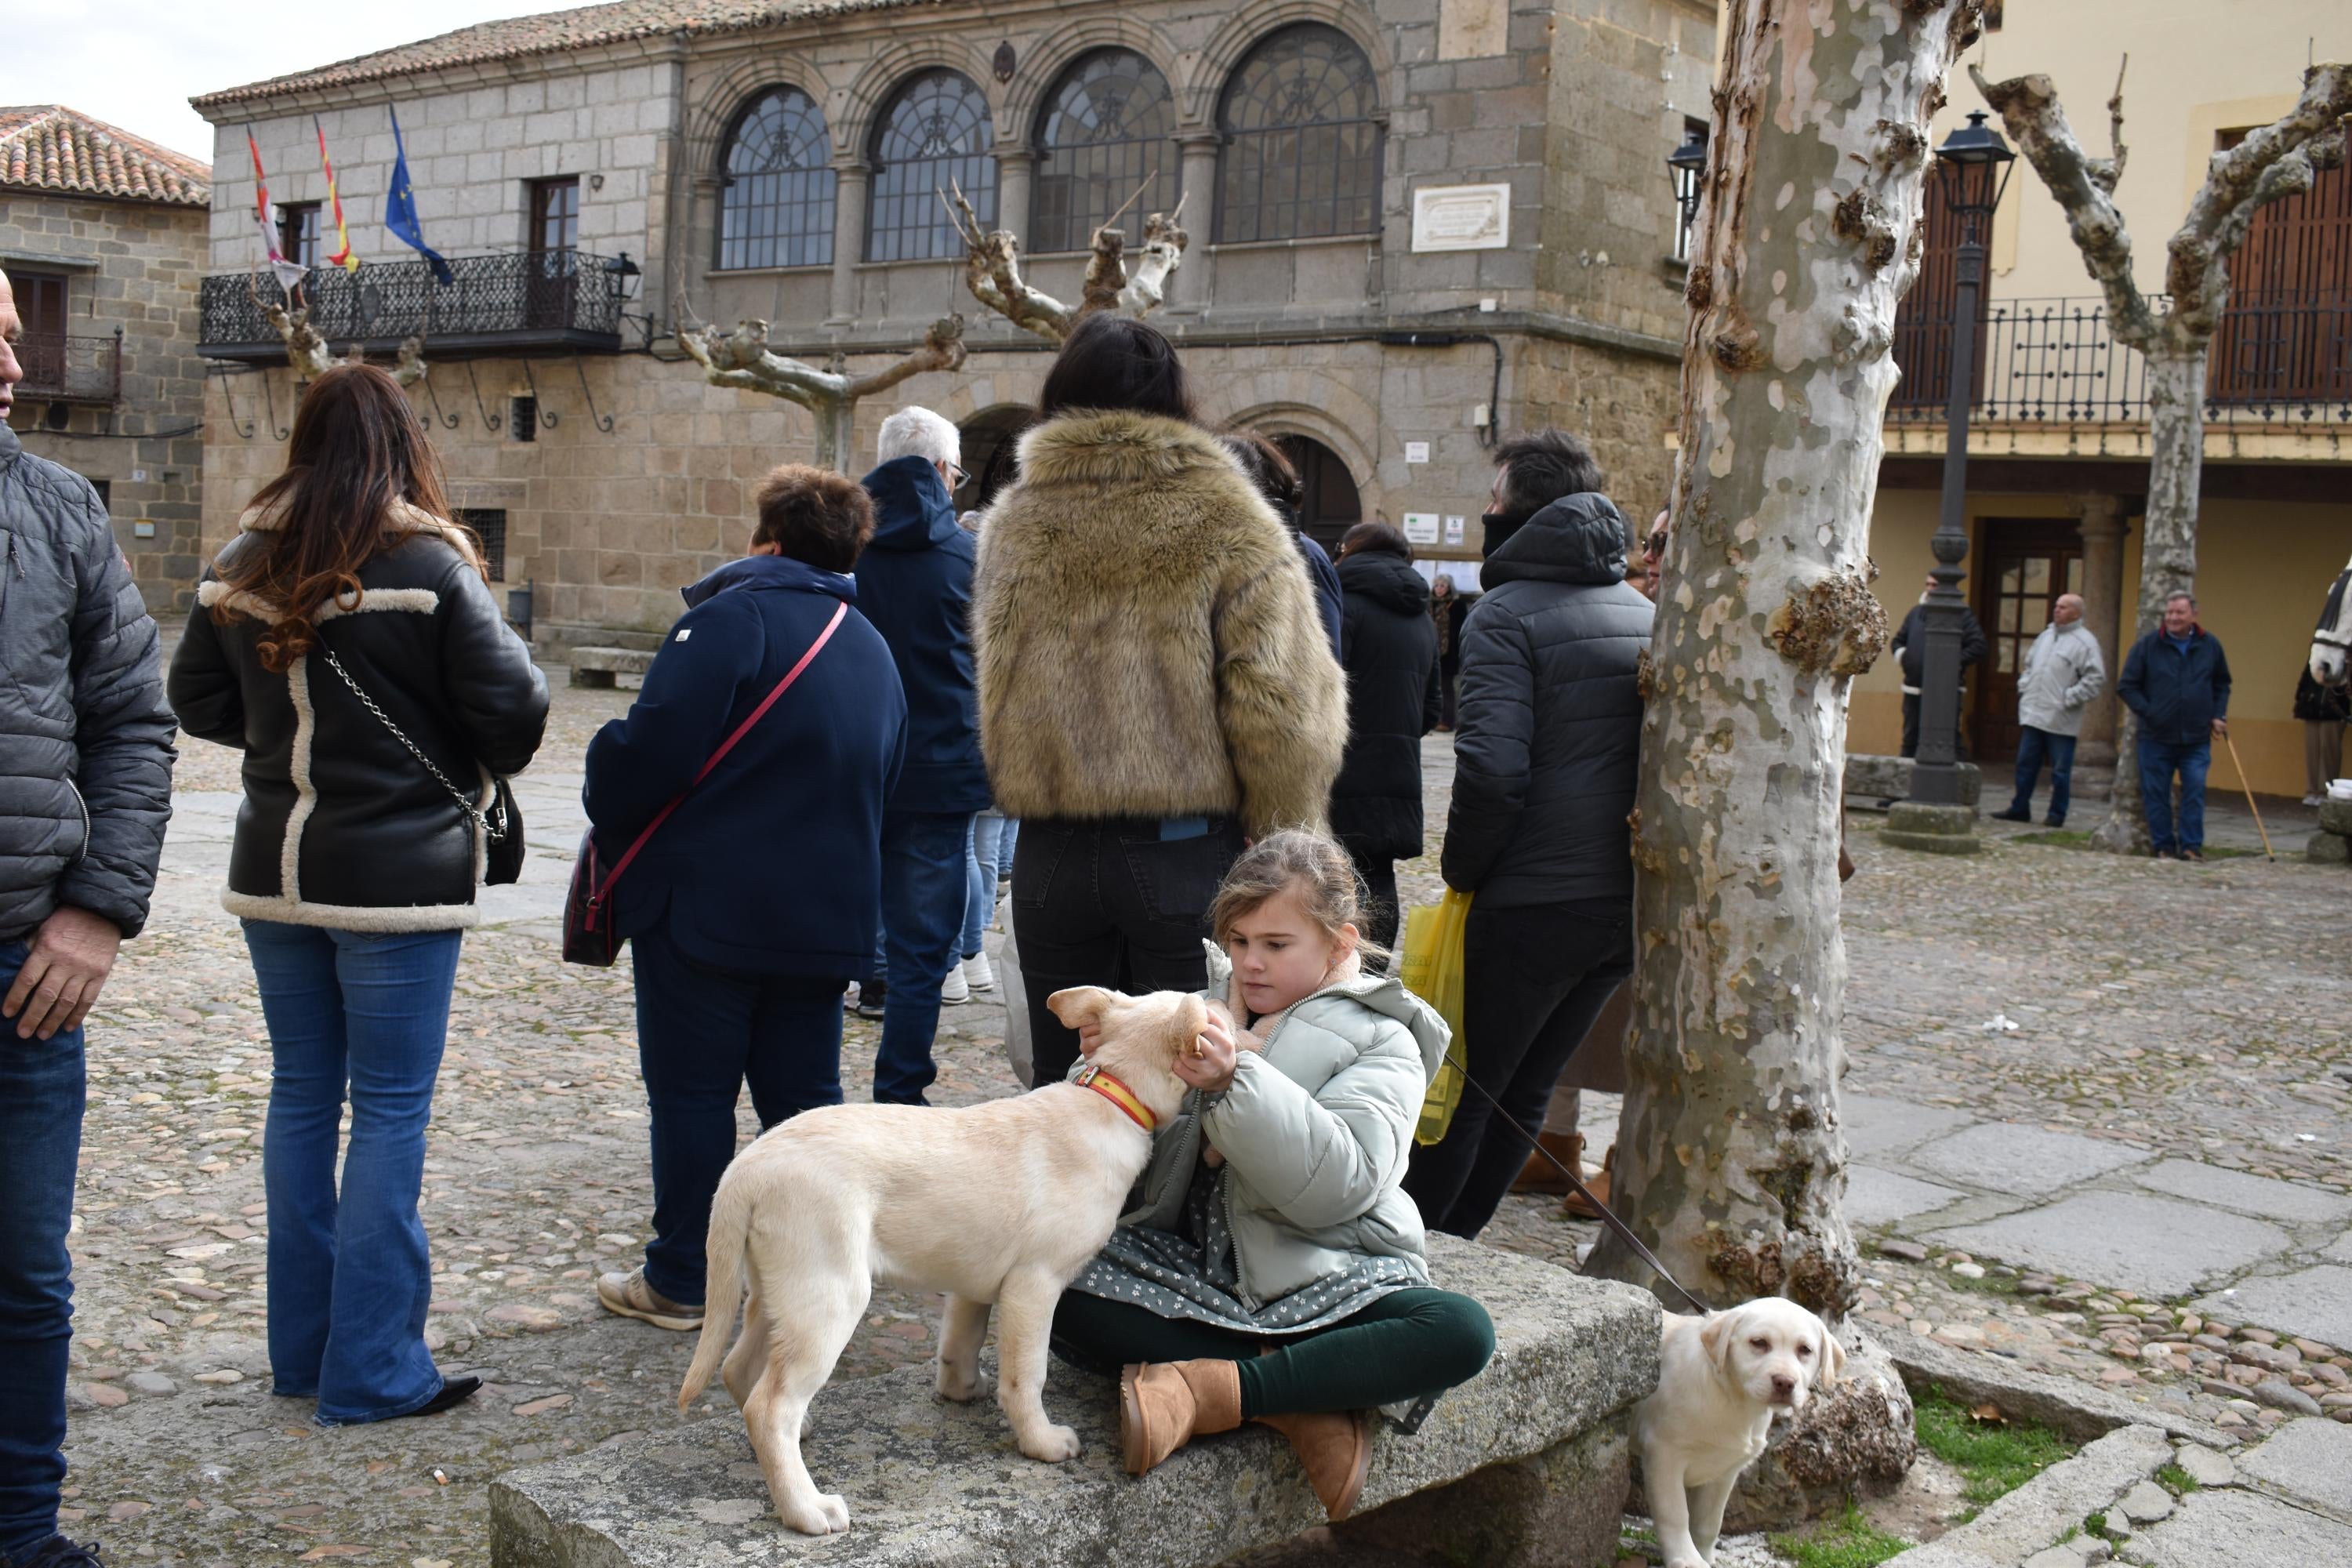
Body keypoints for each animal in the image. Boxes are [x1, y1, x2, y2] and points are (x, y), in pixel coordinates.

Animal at [677, 987, 1195, 1542]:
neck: (1111, 1095)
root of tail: (745, 1168)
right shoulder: (1035, 1285)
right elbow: (1026, 1375)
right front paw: (1041, 1442)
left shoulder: (975, 1279)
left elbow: (961, 1339)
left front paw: (961, 1390)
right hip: (830, 1297)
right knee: (770, 1407)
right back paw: (807, 1508)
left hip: (778, 1293)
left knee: (739, 1369)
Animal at [1637, 1298, 1835, 1568]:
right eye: (1759, 1343)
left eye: (1805, 1349)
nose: (1785, 1382)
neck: (1733, 1399)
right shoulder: (1663, 1454)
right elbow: (1675, 1514)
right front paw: (1686, 1558)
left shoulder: (1724, 1471)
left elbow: (1709, 1522)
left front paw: (1705, 1556)